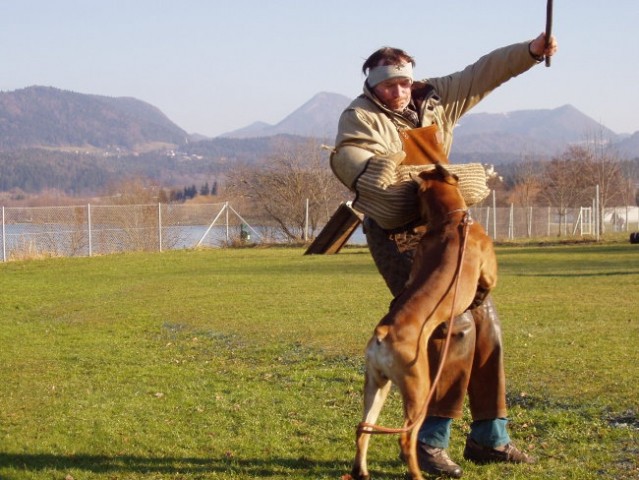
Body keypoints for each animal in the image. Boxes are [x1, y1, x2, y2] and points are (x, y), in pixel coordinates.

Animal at [350, 163, 500, 478]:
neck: (452, 220)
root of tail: (384, 333)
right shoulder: (489, 272)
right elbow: (486, 285)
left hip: (377, 385)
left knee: (364, 429)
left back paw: (362, 470)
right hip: (419, 389)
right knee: (406, 438)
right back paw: (417, 473)